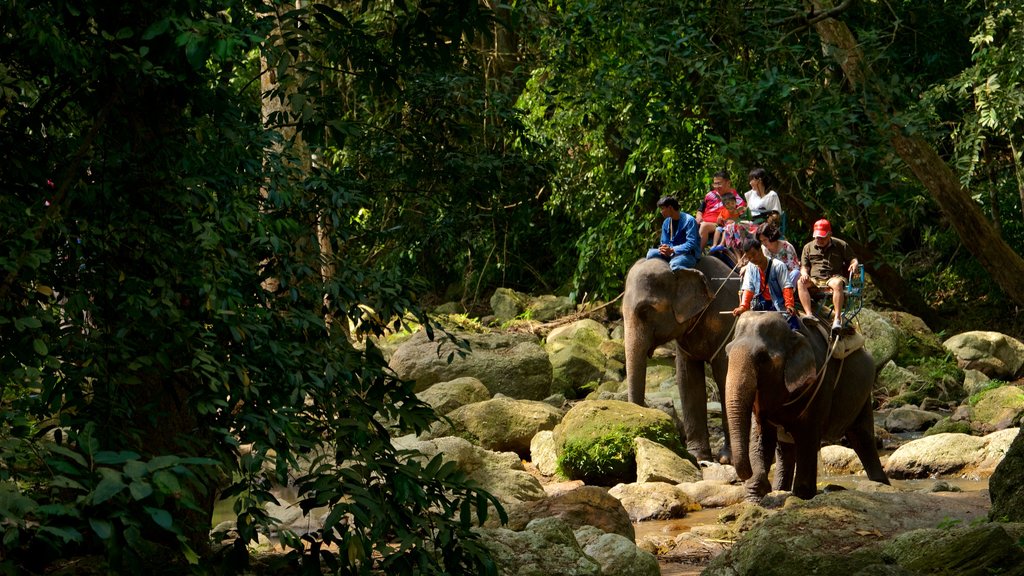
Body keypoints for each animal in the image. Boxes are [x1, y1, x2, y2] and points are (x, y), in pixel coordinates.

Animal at [618, 255, 741, 461]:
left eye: (645, 310)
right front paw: (698, 457)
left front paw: (727, 459)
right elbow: (687, 379)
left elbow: (726, 379)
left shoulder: (728, 324)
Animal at [724, 309, 892, 498]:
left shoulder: (820, 383)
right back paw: (780, 488)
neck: (792, 334)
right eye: (727, 354)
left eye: (762, 358)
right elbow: (761, 437)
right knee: (785, 450)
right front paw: (756, 492)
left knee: (862, 437)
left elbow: (807, 435)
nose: (745, 475)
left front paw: (802, 494)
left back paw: (880, 484)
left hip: (862, 397)